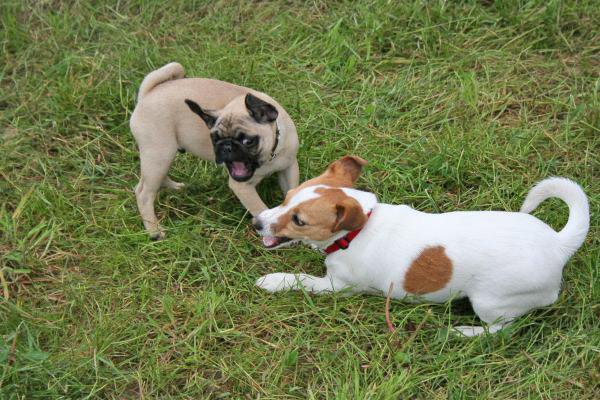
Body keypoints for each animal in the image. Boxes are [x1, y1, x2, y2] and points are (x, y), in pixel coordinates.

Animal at [131, 61, 300, 238]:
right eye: (215, 138)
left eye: (247, 141)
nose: (226, 146)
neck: (269, 157)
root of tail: (147, 94)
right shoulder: (242, 188)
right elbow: (259, 208)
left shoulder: (289, 168)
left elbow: (292, 191)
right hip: (159, 153)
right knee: (144, 192)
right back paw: (154, 231)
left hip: (162, 158)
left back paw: (176, 187)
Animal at [254, 155, 592, 336]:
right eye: (286, 198)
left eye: (299, 220)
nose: (256, 223)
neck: (359, 229)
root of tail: (558, 245)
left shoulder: (338, 287)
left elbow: (302, 280)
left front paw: (274, 280)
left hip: (490, 301)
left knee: (500, 329)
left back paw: (465, 332)